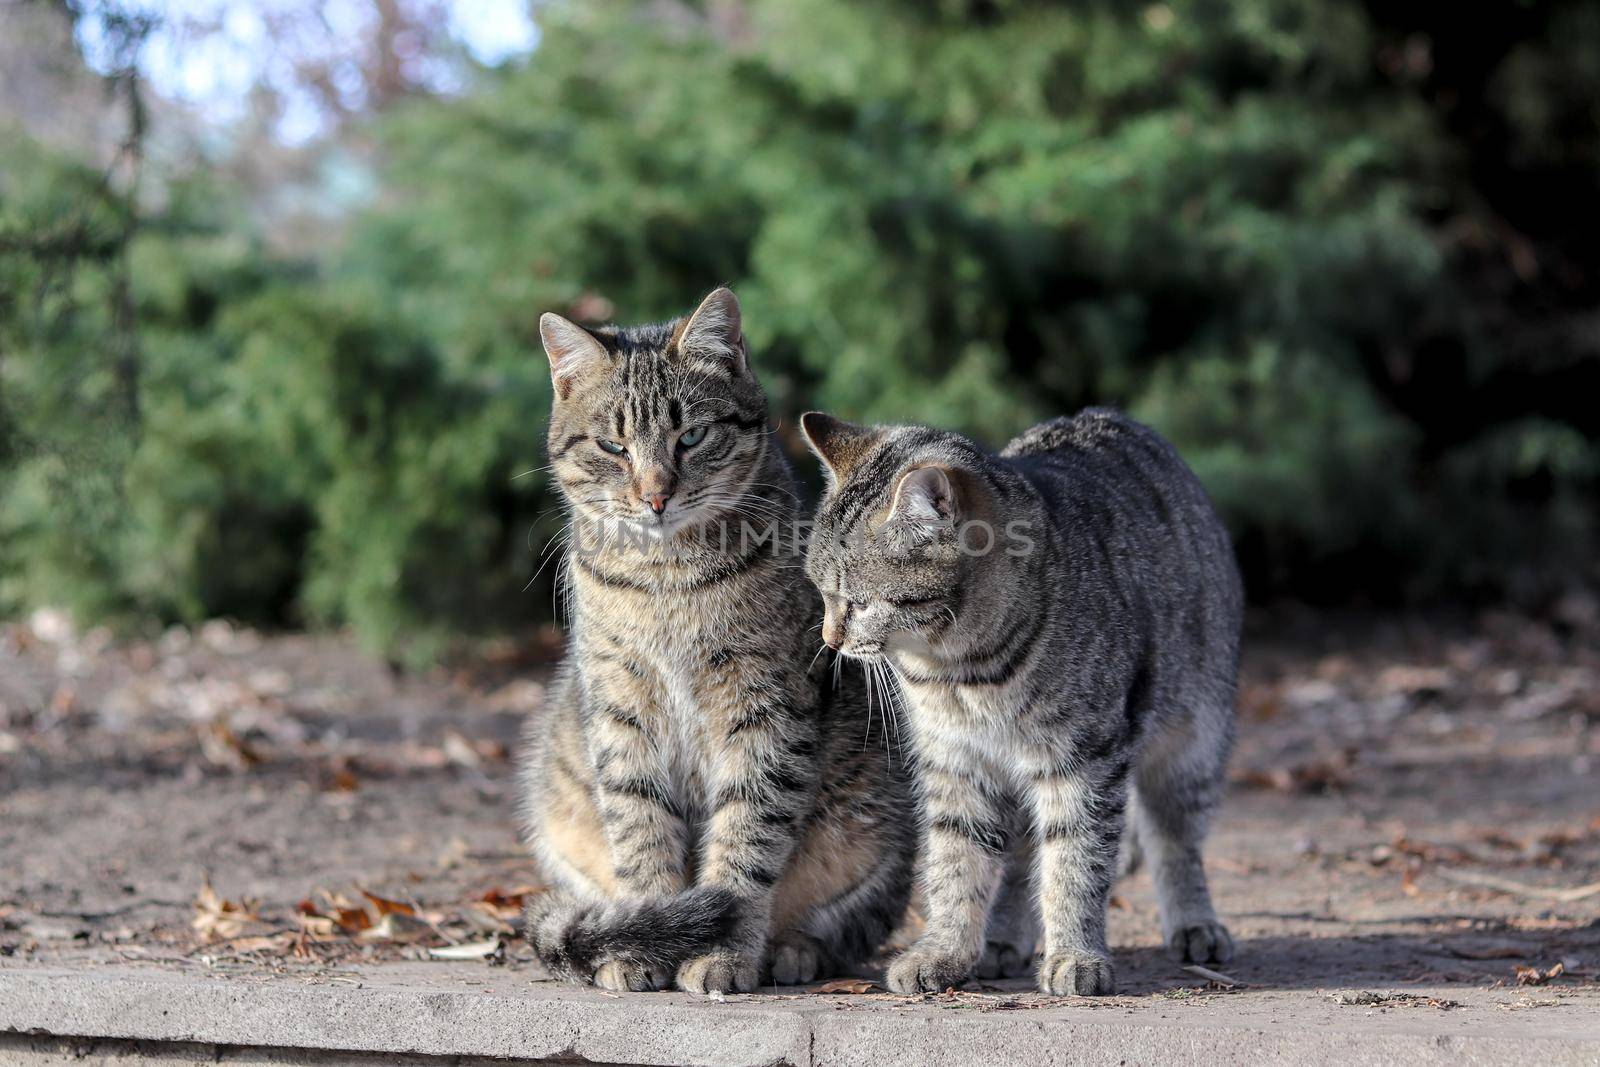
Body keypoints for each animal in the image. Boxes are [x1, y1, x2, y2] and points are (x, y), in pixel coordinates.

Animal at [521, 289, 915, 991]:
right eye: (613, 446)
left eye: (693, 435)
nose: (655, 496)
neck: (666, 576)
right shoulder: (622, 705)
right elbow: (640, 830)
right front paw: (642, 941)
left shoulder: (767, 707)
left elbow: (746, 840)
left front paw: (723, 951)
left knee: (841, 927)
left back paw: (790, 950)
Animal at [800, 412, 1235, 1004]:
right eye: (820, 593)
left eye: (859, 603)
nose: (830, 639)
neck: (960, 670)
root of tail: (1116, 416)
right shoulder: (952, 760)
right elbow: (955, 861)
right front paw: (945, 951)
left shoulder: (1085, 760)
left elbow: (1075, 862)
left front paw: (1075, 956)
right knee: (1022, 855)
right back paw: (1004, 939)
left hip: (1193, 744)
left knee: (1175, 841)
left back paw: (1194, 923)